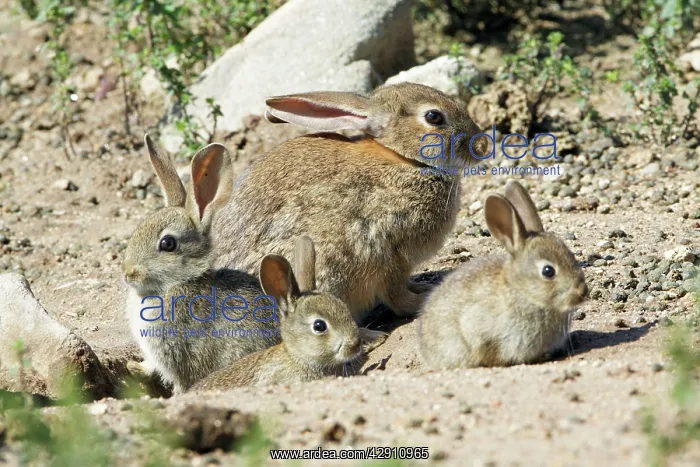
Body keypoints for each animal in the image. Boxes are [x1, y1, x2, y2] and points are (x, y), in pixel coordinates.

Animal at [210, 82, 484, 325]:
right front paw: (421, 300)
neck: (404, 159)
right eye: (433, 116)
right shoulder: (387, 249)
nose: (482, 145)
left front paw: (422, 286)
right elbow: (396, 295)